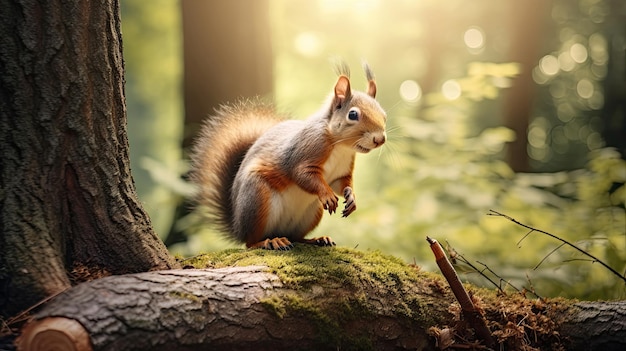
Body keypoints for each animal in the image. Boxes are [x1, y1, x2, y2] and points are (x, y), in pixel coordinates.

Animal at [190, 63, 386, 250]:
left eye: (384, 114)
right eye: (352, 114)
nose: (380, 139)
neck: (341, 146)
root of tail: (238, 227)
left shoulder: (342, 171)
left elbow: (342, 183)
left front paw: (351, 198)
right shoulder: (306, 149)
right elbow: (302, 174)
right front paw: (327, 194)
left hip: (311, 214)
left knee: (295, 237)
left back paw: (316, 239)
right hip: (256, 199)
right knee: (250, 242)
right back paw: (269, 242)